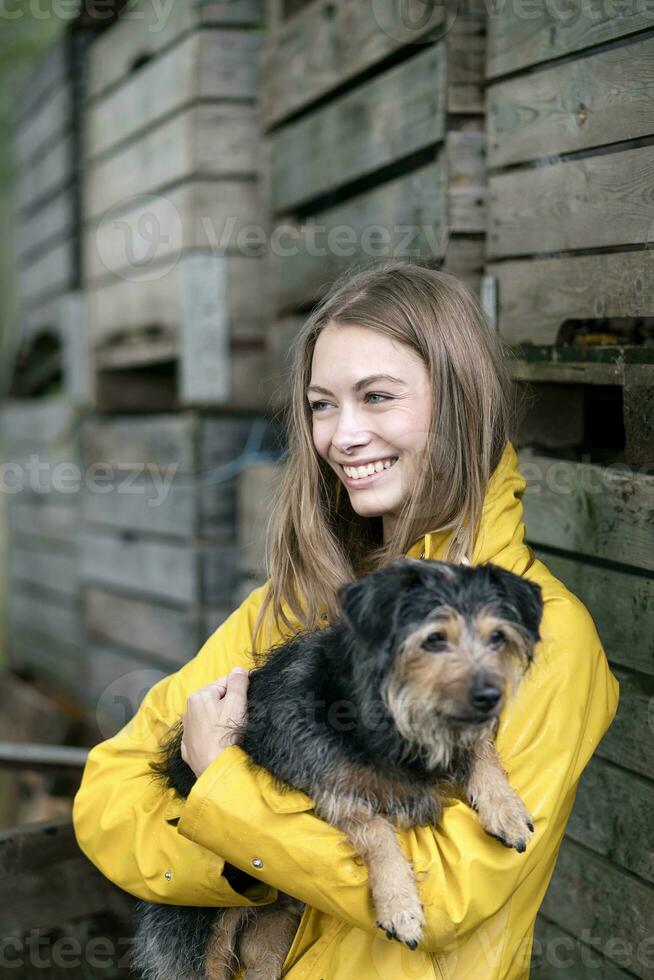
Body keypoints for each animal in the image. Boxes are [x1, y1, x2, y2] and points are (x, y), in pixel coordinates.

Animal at [132, 560, 544, 980]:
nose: (490, 697)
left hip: (272, 932)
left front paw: (506, 808)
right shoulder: (327, 780)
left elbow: (481, 748)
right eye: (434, 639)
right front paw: (400, 904)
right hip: (207, 936)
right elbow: (375, 828)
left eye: (497, 637)